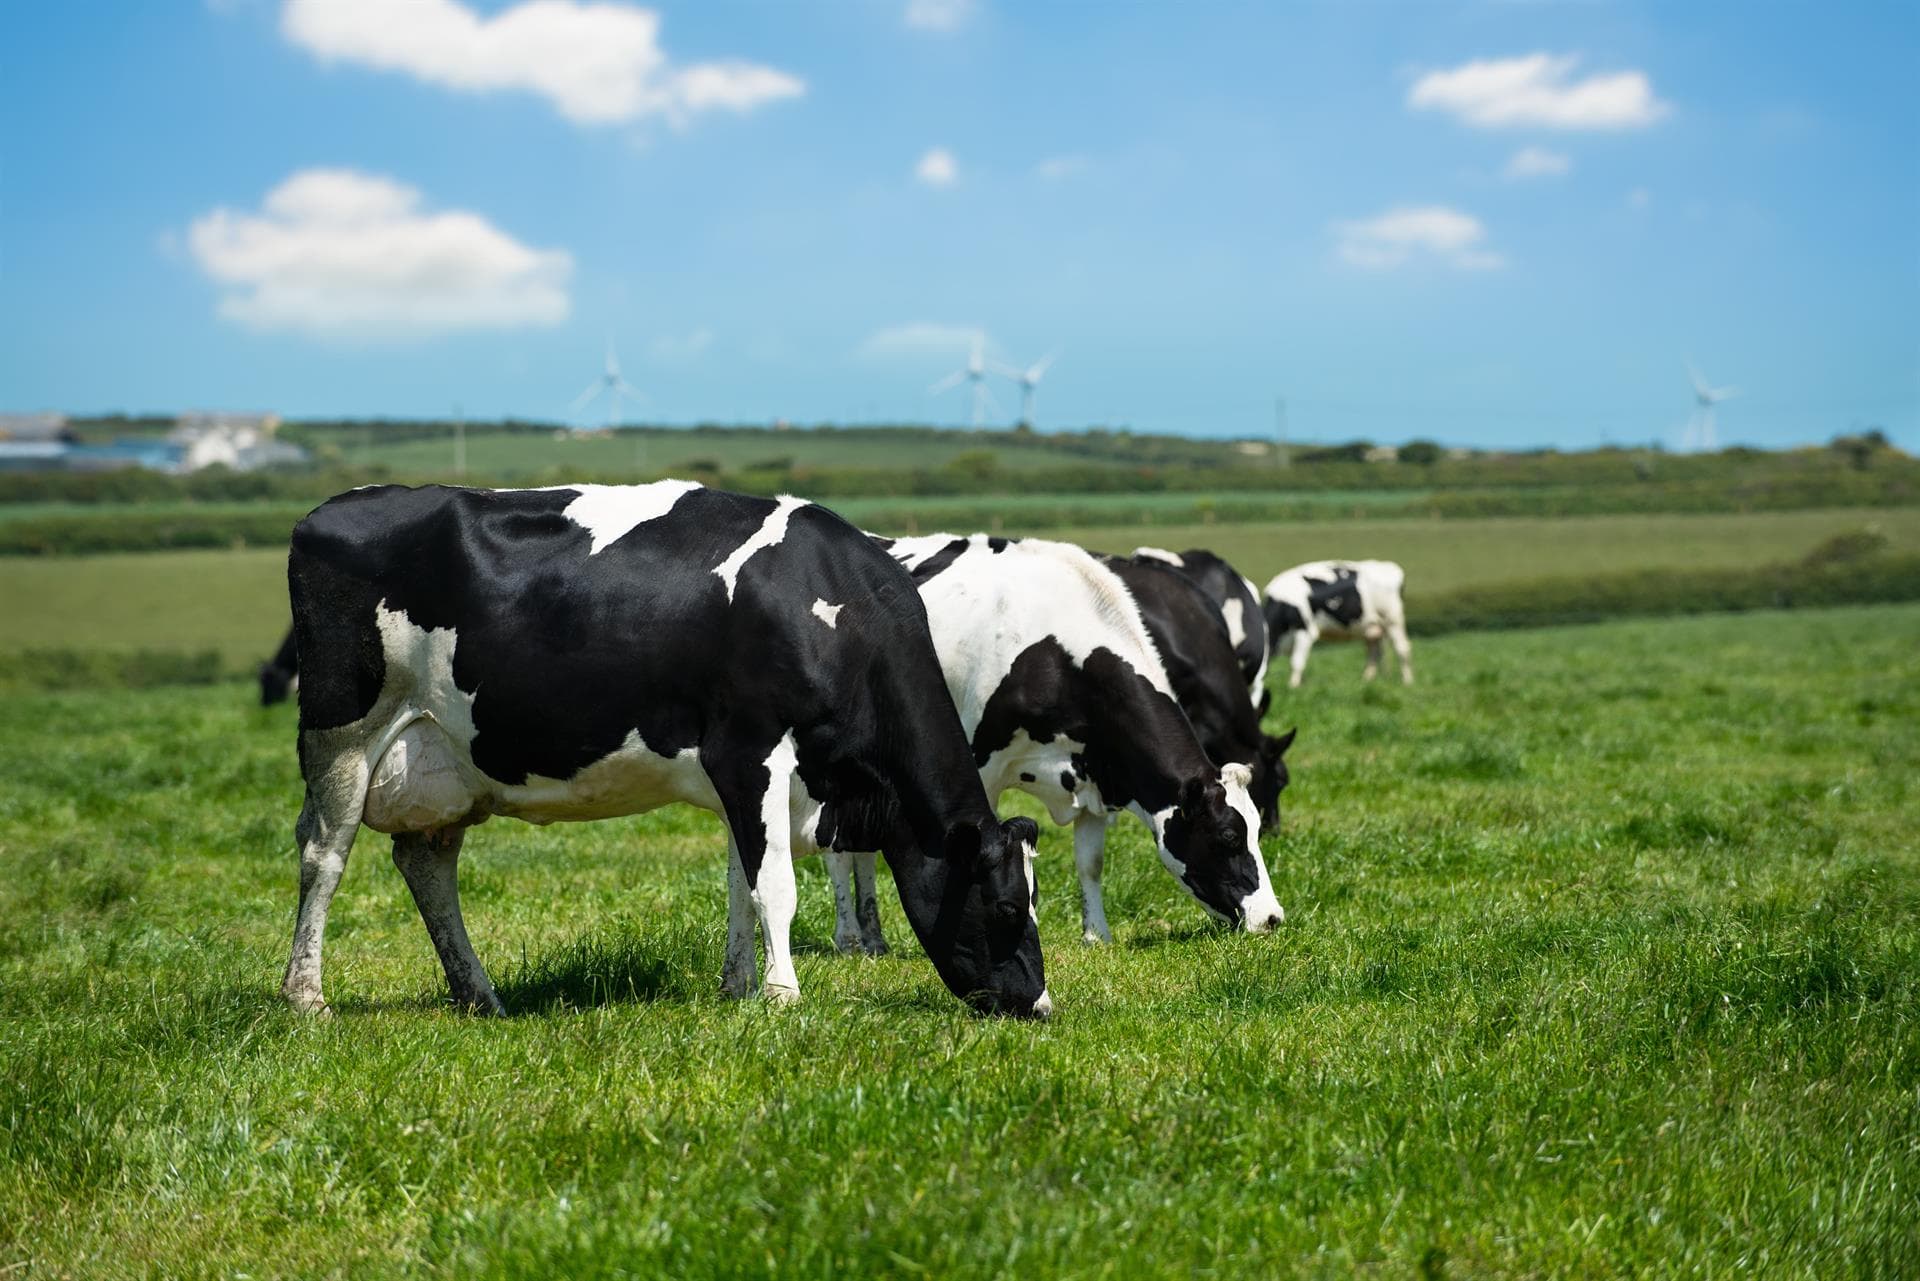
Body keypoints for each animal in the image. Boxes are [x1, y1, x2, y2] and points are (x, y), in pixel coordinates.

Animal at [280, 480, 1052, 1021]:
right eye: (1005, 908)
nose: (1040, 1005)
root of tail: (327, 512)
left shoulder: (749, 779)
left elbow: (743, 879)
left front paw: (740, 987)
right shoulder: (750, 749)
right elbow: (775, 884)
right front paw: (784, 995)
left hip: (445, 759)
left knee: (426, 863)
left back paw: (481, 996)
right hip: (342, 733)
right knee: (324, 851)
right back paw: (306, 998)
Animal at [1259, 556, 1413, 687]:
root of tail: (1389, 567)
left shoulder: (1305, 632)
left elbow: (1296, 662)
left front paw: (1293, 687)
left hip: (1393, 620)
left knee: (1402, 649)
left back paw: (1407, 681)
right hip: (1371, 627)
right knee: (1373, 652)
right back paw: (1366, 681)